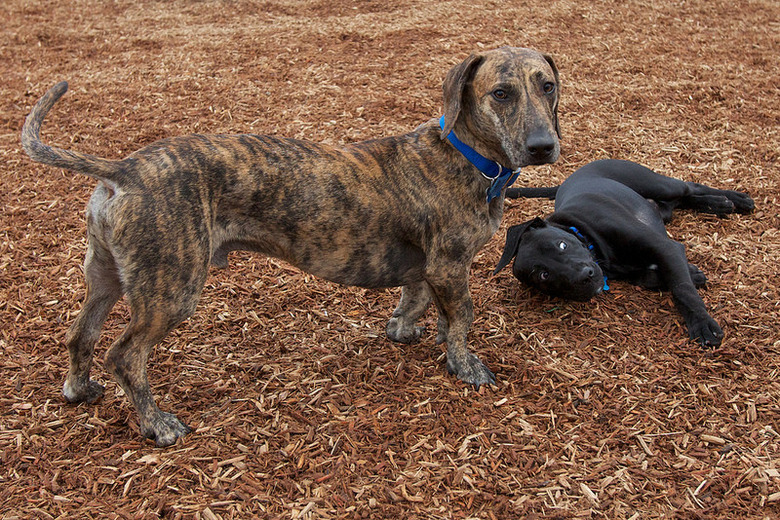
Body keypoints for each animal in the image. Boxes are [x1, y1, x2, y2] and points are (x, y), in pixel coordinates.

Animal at [21, 46, 560, 446]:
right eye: (501, 93)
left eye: (547, 85)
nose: (543, 146)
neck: (468, 156)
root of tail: (124, 170)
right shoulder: (449, 266)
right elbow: (463, 316)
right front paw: (464, 364)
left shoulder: (426, 267)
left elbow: (416, 299)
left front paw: (405, 329)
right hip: (171, 288)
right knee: (125, 355)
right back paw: (157, 424)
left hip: (106, 277)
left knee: (80, 335)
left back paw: (78, 389)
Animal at [494, 158, 756, 346]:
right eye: (544, 275)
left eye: (562, 245)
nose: (585, 276)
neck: (587, 236)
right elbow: (658, 277)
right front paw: (694, 273)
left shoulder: (665, 247)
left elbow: (683, 290)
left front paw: (702, 324)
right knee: (683, 200)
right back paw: (718, 204)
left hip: (656, 183)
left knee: (690, 186)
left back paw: (736, 199)